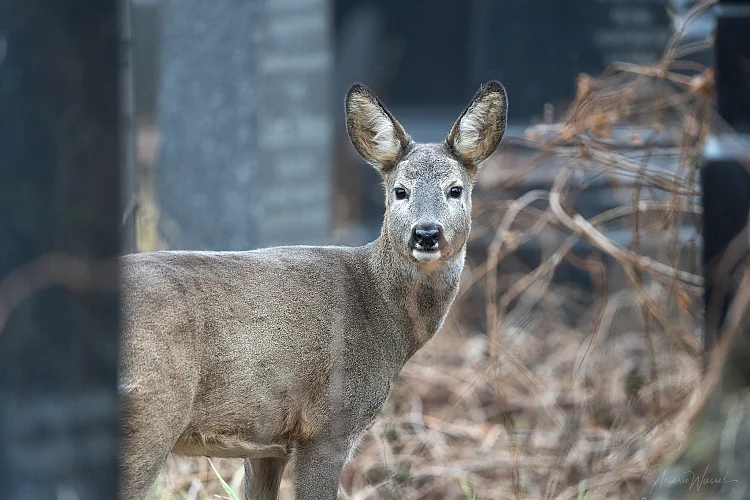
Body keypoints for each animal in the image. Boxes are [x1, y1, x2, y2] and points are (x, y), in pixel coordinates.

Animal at [118, 80, 508, 500]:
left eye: (455, 190)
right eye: (400, 191)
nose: (426, 233)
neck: (382, 312)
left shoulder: (267, 442)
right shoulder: (329, 427)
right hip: (152, 414)